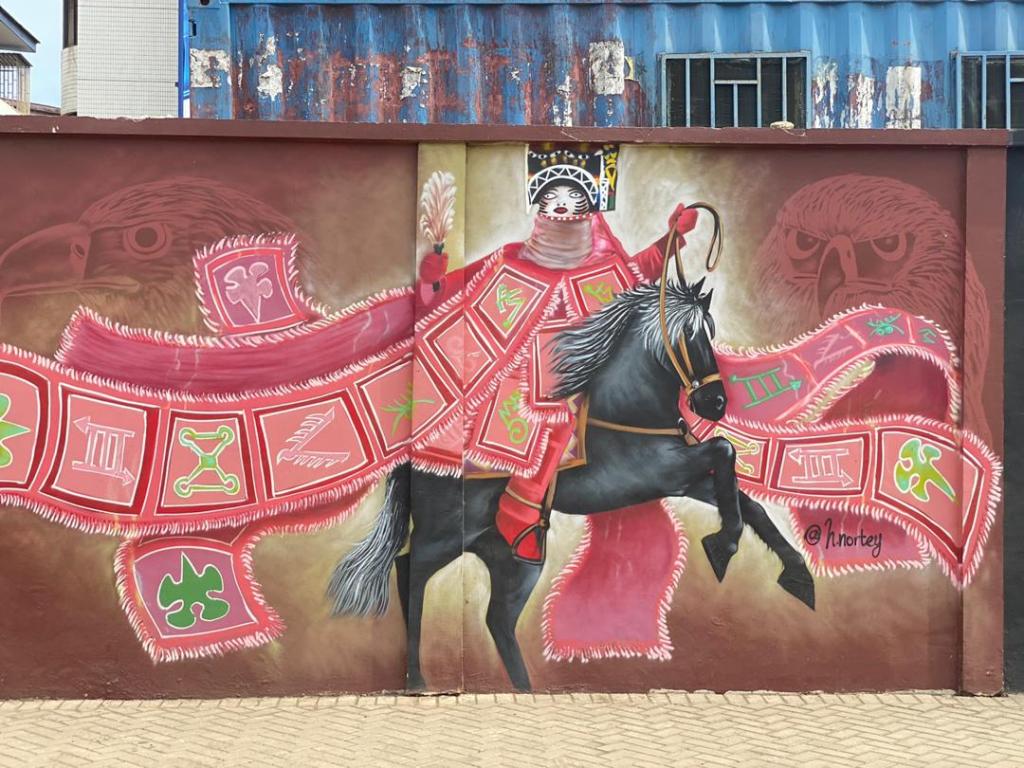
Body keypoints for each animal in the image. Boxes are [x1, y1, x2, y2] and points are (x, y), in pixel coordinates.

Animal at [328, 278, 815, 692]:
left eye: (709, 335)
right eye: (686, 338)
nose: (713, 404)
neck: (628, 409)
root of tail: (416, 455)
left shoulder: (682, 478)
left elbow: (748, 501)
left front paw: (796, 575)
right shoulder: (657, 471)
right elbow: (725, 451)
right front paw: (723, 546)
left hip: (510, 553)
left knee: (497, 619)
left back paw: (520, 687)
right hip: (446, 533)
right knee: (410, 570)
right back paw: (417, 679)